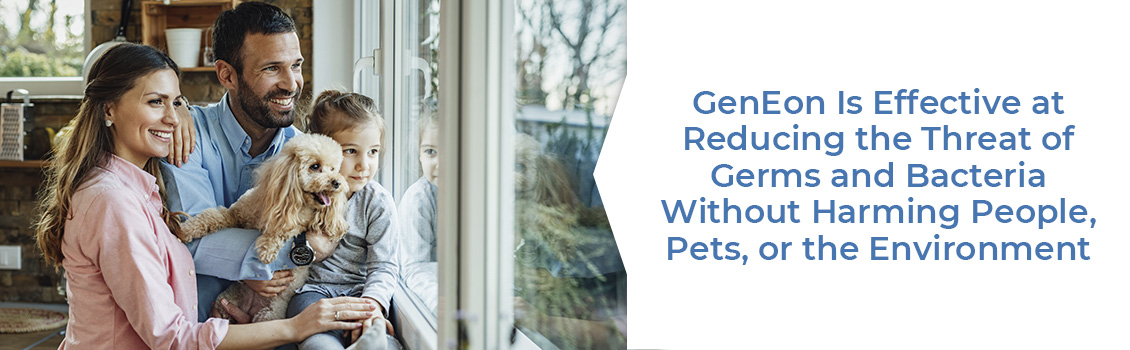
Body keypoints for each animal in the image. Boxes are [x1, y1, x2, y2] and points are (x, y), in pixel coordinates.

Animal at [178, 133, 348, 320]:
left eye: (333, 169)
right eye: (315, 166)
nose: (337, 182)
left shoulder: (299, 225)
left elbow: (283, 230)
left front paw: (267, 248)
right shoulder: (235, 214)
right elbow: (213, 216)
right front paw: (187, 229)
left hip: (270, 313)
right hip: (226, 300)